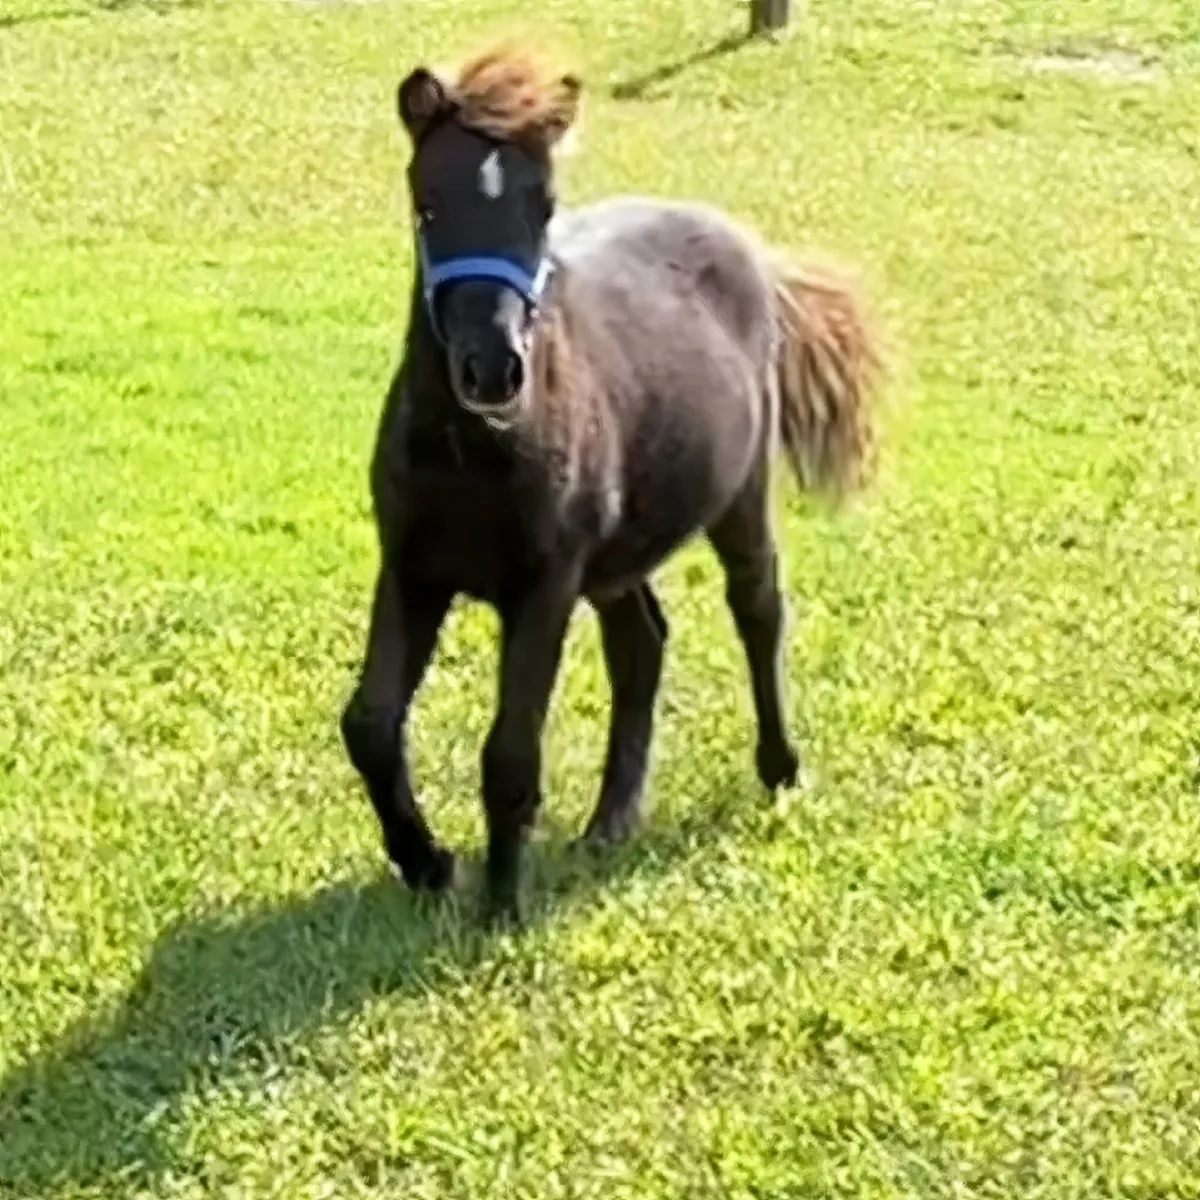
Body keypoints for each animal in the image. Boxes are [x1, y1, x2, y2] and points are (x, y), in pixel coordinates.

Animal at [340, 43, 884, 923]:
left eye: (544, 207)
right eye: (427, 205)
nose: (492, 368)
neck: (473, 448)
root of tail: (750, 250)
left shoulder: (544, 584)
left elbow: (511, 751)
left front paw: (501, 908)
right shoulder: (413, 571)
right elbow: (370, 723)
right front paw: (429, 864)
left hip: (739, 497)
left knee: (759, 610)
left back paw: (779, 768)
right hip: (618, 553)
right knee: (642, 642)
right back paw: (610, 822)